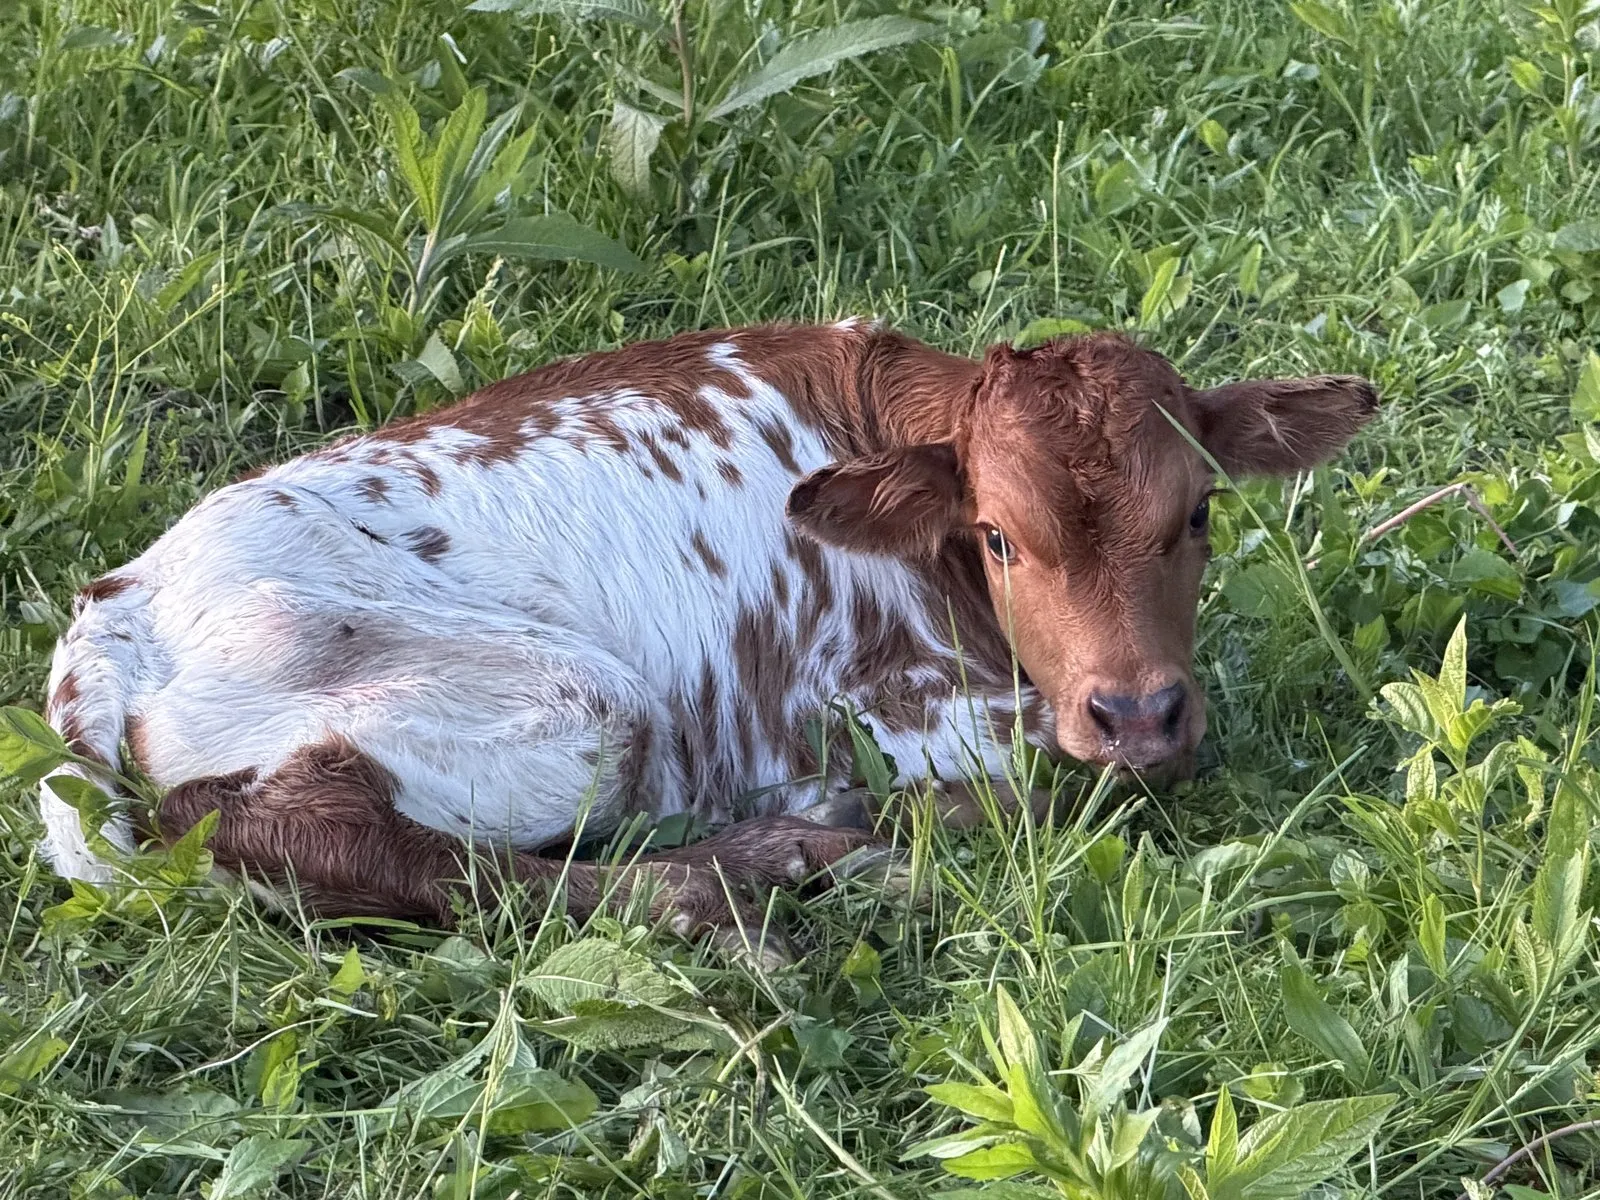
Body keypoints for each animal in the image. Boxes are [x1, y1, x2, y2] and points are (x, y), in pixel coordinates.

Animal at [38, 321, 1376, 949]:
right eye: (998, 536)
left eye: (1197, 511)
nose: (1139, 710)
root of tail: (119, 609)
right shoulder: (899, 704)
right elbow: (1049, 786)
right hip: (565, 698)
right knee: (323, 834)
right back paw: (762, 861)